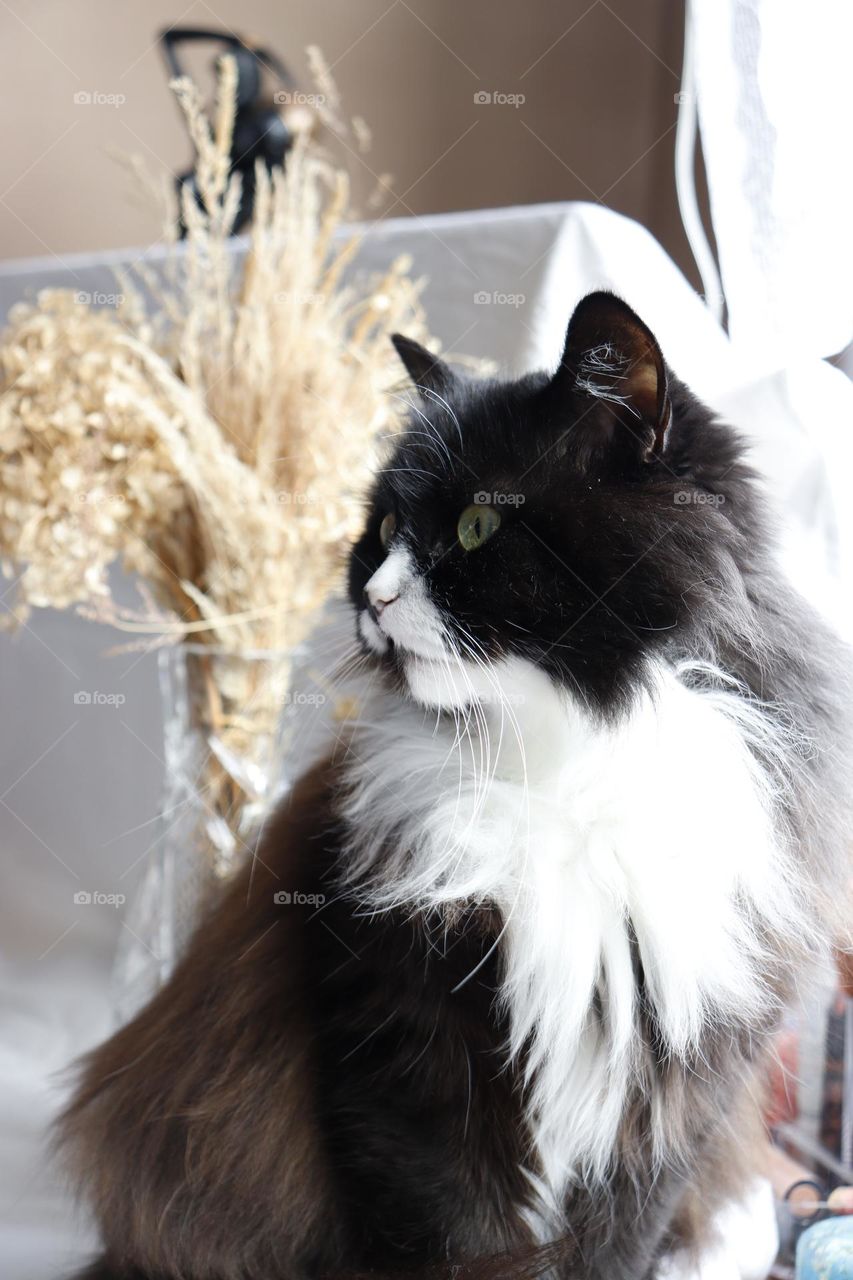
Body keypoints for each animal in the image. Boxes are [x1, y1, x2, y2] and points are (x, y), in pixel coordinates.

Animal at [61, 294, 850, 1274]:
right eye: (382, 533)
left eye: (479, 525)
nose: (373, 596)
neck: (567, 759)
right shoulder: (404, 1043)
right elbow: (448, 1232)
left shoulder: (674, 1085)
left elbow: (613, 1243)